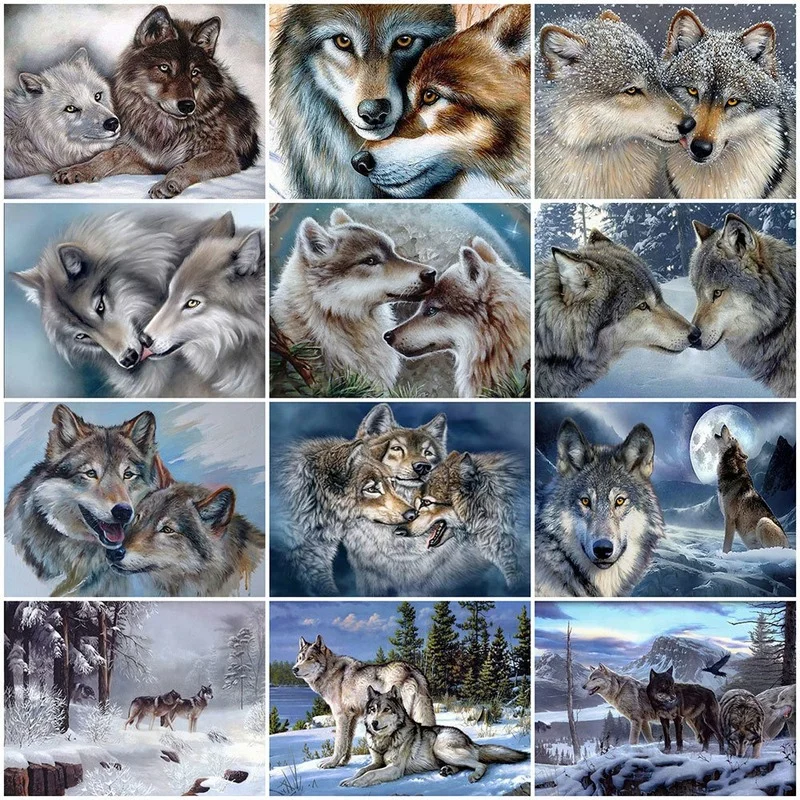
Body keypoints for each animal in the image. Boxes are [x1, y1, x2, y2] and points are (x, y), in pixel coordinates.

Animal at [53, 6, 259, 198]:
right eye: (164, 68)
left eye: (194, 72)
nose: (188, 106)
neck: (166, 129)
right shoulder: (147, 160)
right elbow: (108, 155)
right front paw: (78, 169)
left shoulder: (226, 155)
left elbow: (188, 164)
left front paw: (168, 183)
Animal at [293, 636, 436, 769]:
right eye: (299, 658)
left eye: (310, 658)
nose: (294, 669)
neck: (330, 671)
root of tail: (412, 669)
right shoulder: (353, 717)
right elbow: (348, 742)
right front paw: (343, 762)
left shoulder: (341, 716)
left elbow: (339, 744)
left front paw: (331, 763)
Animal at [341, 685, 528, 787]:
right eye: (373, 710)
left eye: (386, 709)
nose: (374, 723)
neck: (385, 740)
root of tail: (471, 741)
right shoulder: (377, 762)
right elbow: (361, 770)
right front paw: (348, 779)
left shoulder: (395, 768)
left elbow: (369, 775)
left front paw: (354, 783)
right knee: (464, 765)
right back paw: (448, 770)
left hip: (441, 748)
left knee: (481, 764)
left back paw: (474, 776)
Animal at [715, 424, 788, 553]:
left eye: (732, 437)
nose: (724, 425)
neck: (731, 474)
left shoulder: (730, 519)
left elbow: (726, 546)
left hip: (763, 522)